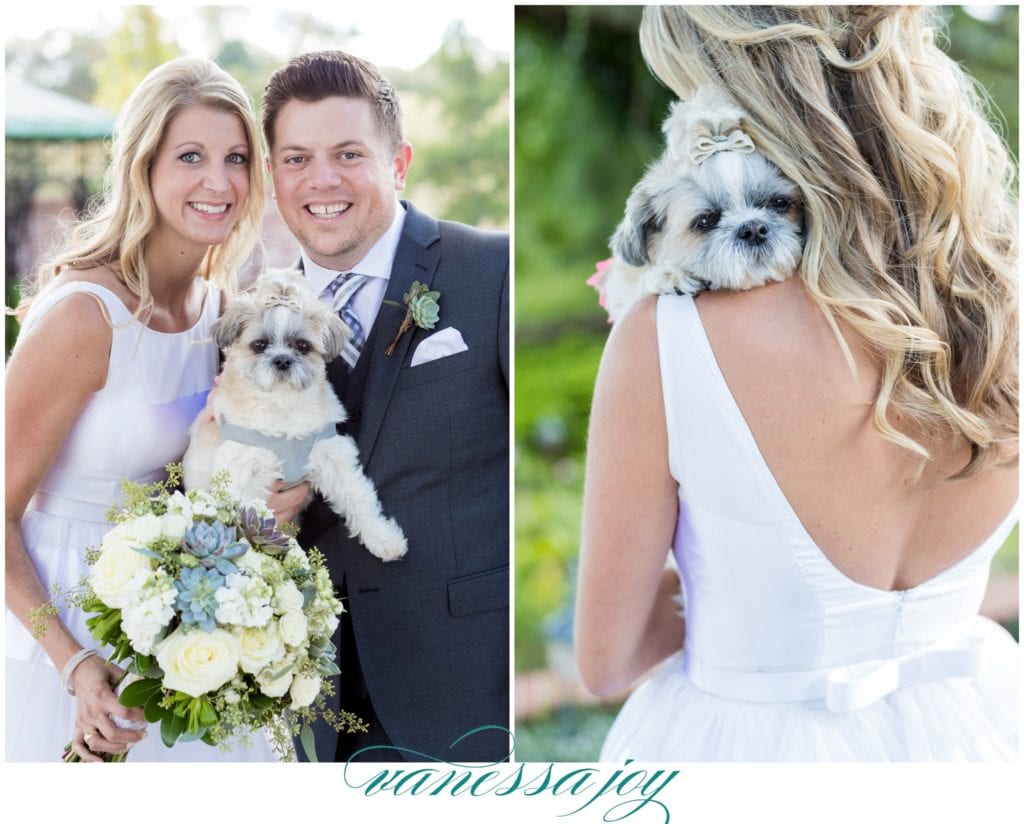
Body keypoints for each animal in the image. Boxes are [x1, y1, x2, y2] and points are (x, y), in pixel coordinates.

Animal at [184, 270, 407, 560]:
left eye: (302, 346)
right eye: (259, 345)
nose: (282, 359)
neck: (282, 404)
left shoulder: (332, 456)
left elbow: (357, 496)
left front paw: (383, 538)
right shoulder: (240, 474)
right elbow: (245, 520)